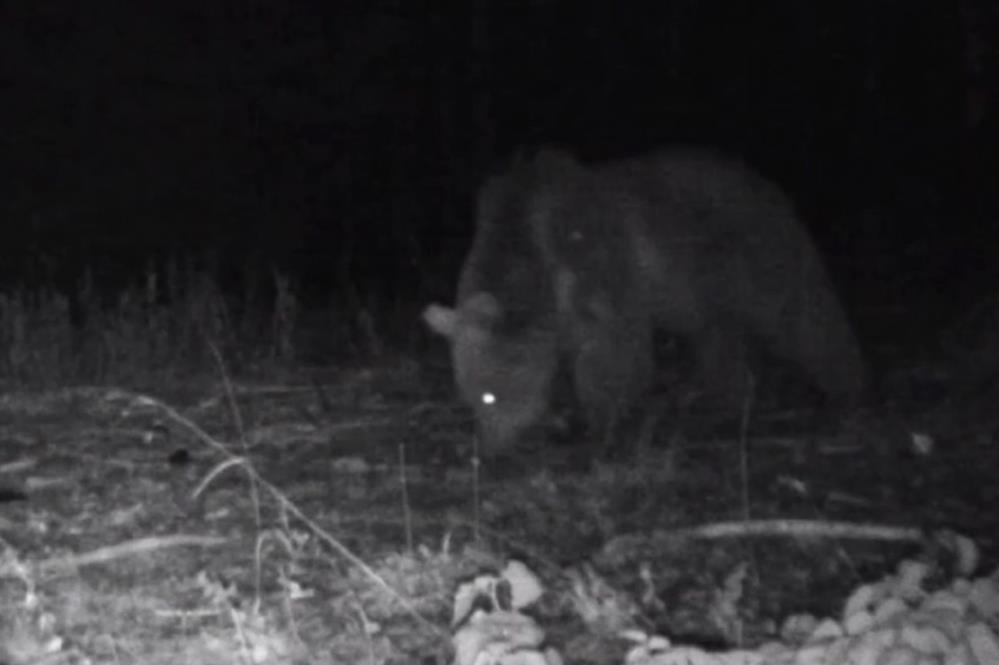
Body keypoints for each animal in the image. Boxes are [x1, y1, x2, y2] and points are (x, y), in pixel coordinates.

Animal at [424, 147, 868, 456]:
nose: (490, 453)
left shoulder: (600, 272)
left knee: (803, 316)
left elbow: (614, 356)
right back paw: (725, 409)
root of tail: (766, 183)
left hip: (759, 254)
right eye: (468, 395)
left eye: (490, 395)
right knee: (720, 341)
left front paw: (603, 429)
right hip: (706, 293)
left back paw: (848, 395)